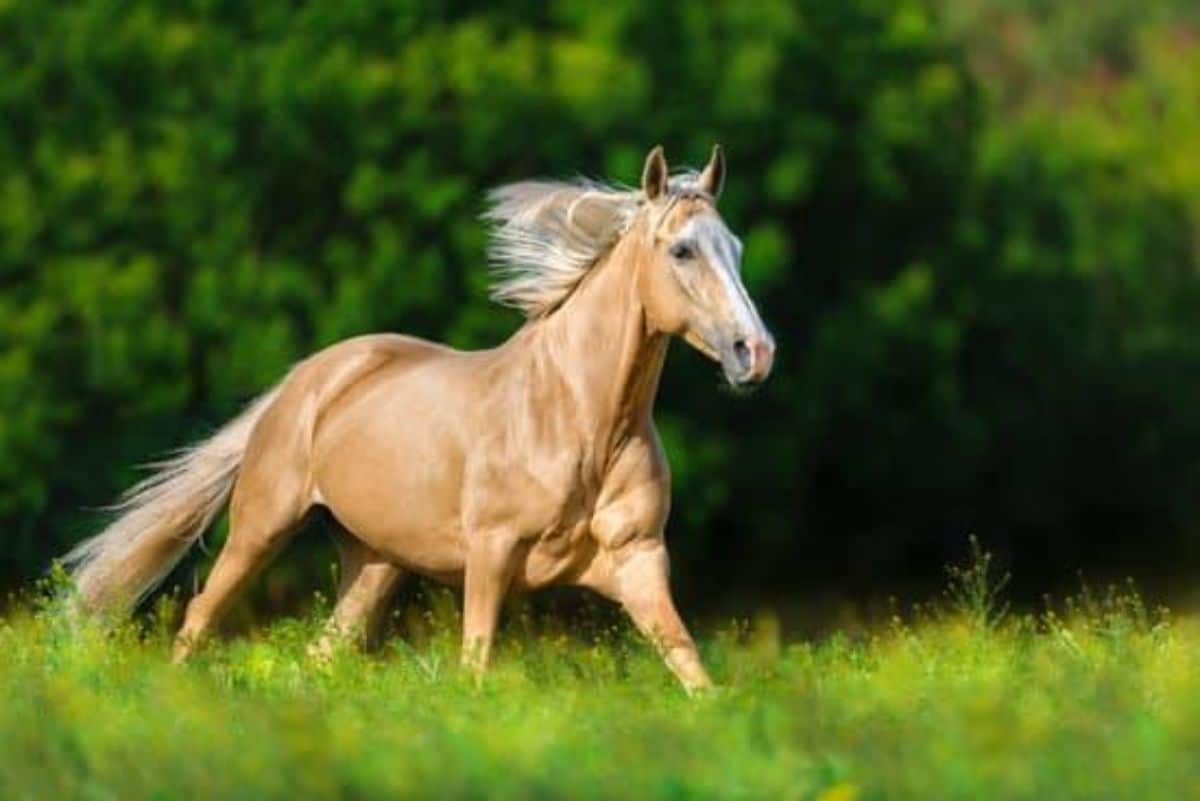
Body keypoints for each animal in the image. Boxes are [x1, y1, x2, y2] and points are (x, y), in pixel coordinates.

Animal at [60, 145, 777, 695]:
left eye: (737, 247)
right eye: (682, 251)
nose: (755, 352)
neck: (580, 423)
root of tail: (306, 379)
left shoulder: (639, 560)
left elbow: (692, 668)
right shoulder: (490, 554)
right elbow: (475, 665)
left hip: (374, 562)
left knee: (322, 651)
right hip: (261, 526)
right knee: (200, 616)